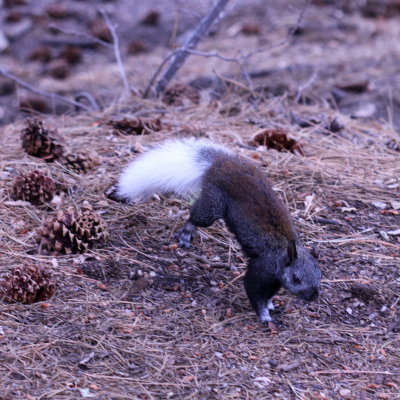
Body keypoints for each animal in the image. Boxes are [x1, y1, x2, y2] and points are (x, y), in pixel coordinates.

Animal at [111, 139, 320, 324]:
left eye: (319, 275)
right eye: (296, 278)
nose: (313, 297)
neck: (281, 254)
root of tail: (220, 163)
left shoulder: (275, 279)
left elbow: (269, 295)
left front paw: (270, 304)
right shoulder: (263, 267)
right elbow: (253, 290)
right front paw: (265, 316)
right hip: (213, 204)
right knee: (196, 216)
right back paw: (187, 231)